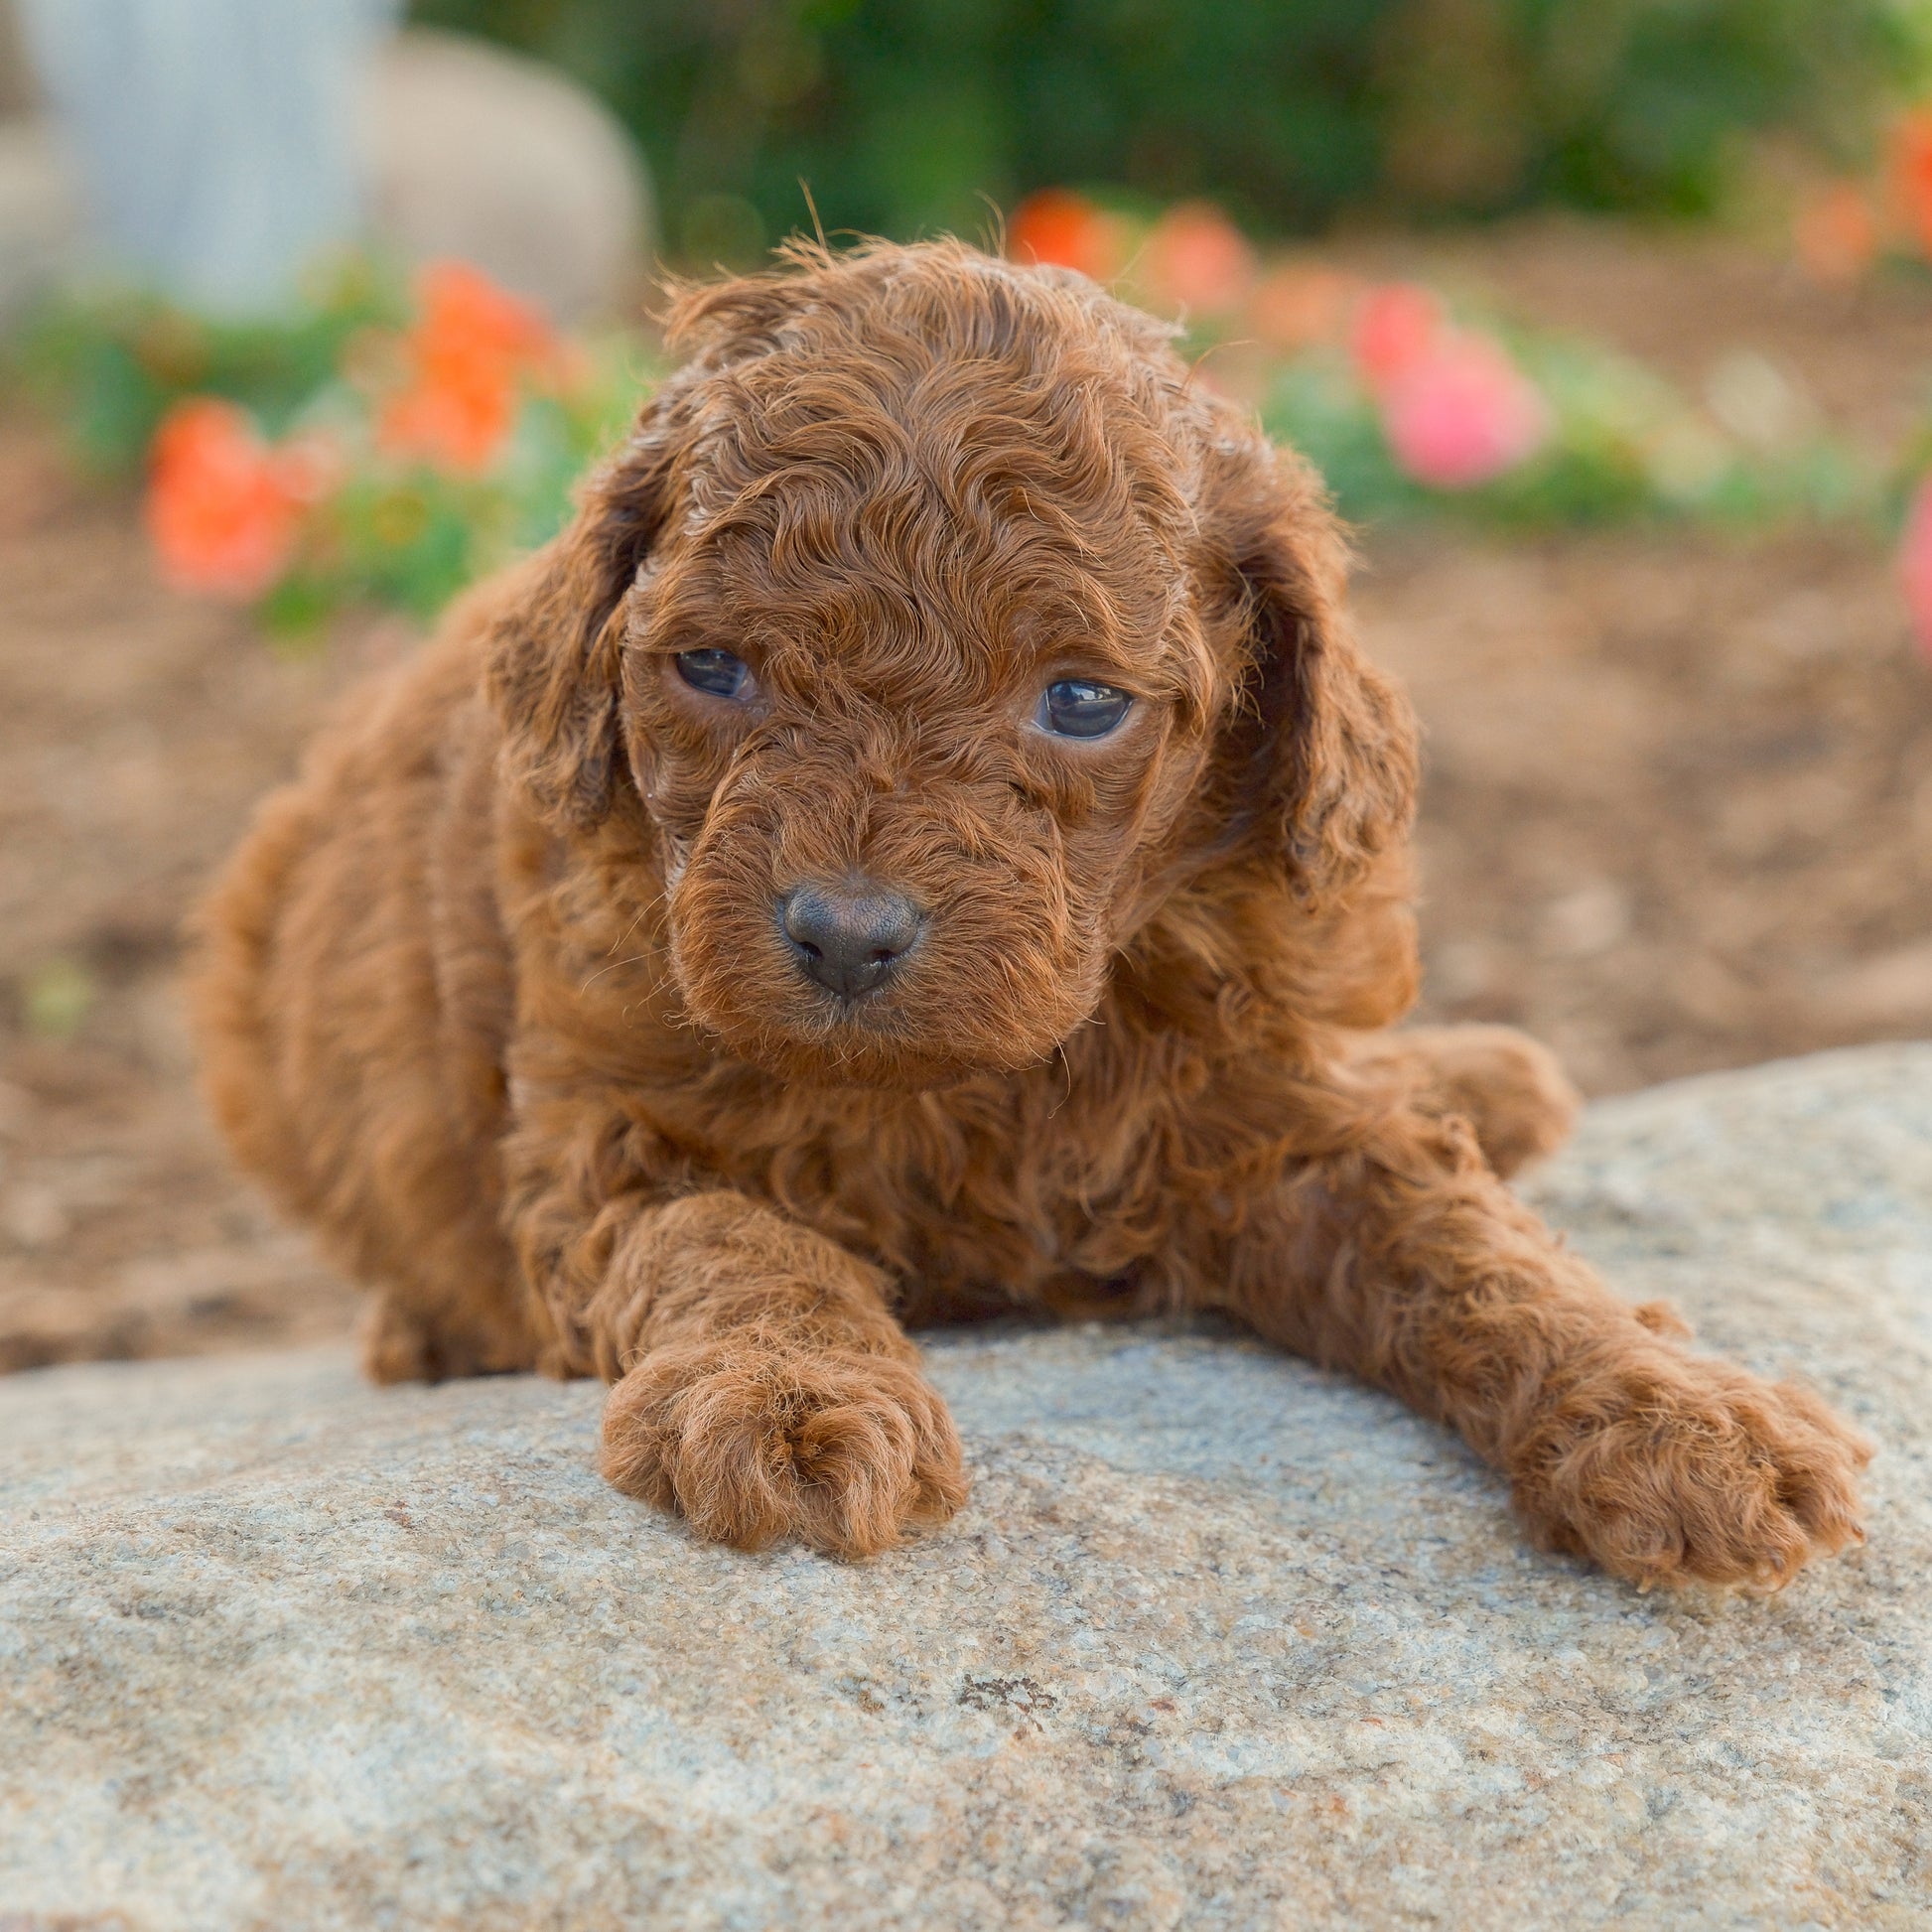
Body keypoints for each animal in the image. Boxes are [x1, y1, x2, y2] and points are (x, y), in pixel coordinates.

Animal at [188, 237, 1862, 1584]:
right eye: (710, 669)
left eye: (1079, 701)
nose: (844, 933)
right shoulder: (600, 1122)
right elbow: (725, 1227)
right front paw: (792, 1397)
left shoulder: (1268, 1114)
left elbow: (1458, 1238)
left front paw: (1679, 1414)